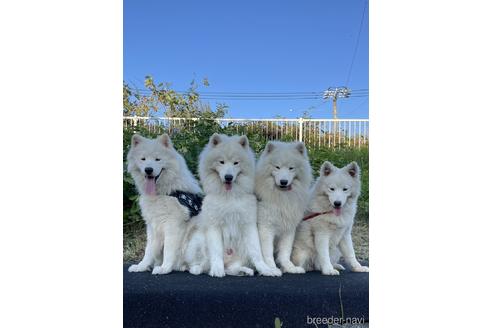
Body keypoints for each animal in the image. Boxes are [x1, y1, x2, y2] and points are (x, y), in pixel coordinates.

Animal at [129, 133, 204, 274]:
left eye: (157, 159)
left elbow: (169, 250)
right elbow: (148, 251)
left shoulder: (172, 225)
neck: (166, 192)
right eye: (143, 159)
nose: (148, 170)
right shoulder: (152, 226)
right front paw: (141, 266)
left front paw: (164, 268)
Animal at [194, 133, 282, 276]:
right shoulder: (214, 226)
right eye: (221, 162)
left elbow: (257, 252)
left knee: (232, 268)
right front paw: (217, 270)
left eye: (236, 163)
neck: (229, 196)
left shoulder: (249, 225)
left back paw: (245, 271)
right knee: (202, 265)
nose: (228, 177)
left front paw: (266, 270)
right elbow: (216, 252)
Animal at [256, 141, 314, 274]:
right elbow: (267, 252)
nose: (283, 181)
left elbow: (285, 252)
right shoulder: (266, 228)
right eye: (277, 167)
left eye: (291, 168)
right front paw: (271, 268)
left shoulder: (289, 228)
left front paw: (290, 268)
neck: (282, 198)